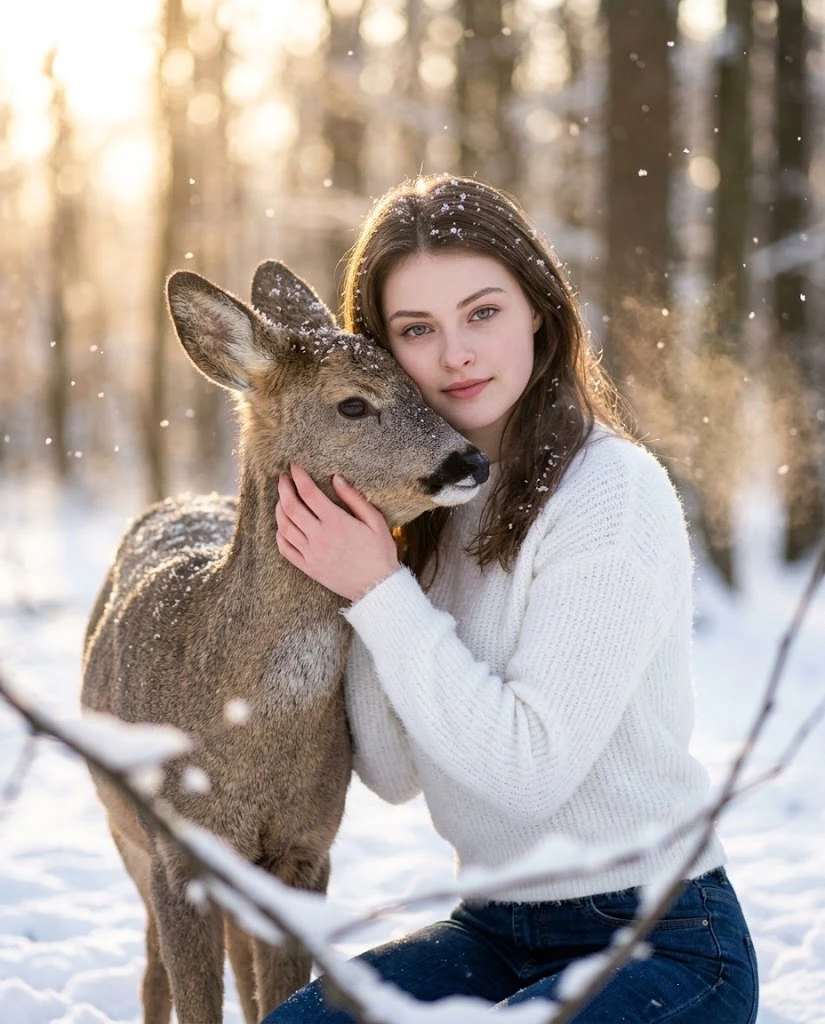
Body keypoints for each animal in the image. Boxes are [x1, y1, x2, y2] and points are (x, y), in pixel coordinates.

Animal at [80, 261, 490, 1024]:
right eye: (353, 404)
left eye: (420, 389)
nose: (470, 462)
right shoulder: (177, 854)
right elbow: (194, 996)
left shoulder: (307, 845)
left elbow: (276, 991)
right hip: (123, 831)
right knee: (152, 969)